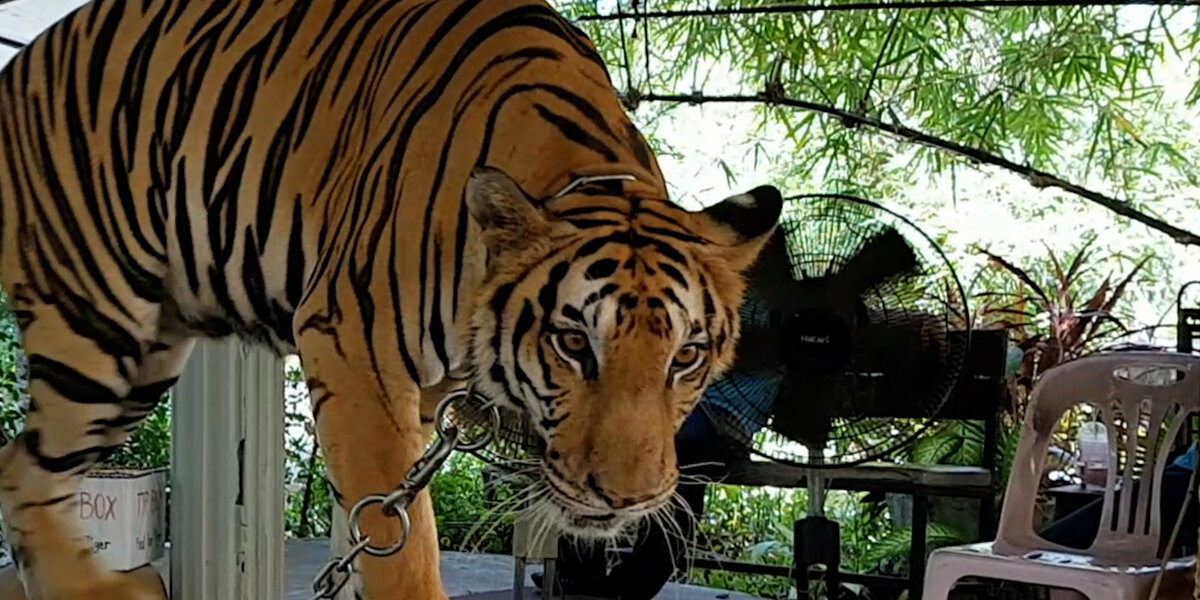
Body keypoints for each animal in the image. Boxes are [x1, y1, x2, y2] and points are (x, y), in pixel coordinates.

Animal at [0, 0, 783, 598]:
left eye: (686, 356)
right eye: (571, 343)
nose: (629, 500)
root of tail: (22, 61)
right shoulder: (353, 351)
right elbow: (398, 548)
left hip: (147, 356)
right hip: (96, 326)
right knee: (28, 470)